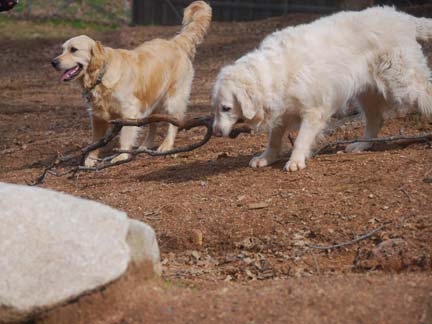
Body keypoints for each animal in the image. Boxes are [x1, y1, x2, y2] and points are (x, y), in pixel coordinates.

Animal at [51, 0, 212, 167]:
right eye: (62, 50)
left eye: (73, 49)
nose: (53, 62)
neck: (102, 74)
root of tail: (175, 43)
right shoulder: (97, 116)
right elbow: (95, 141)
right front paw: (90, 159)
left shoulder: (129, 111)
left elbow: (125, 136)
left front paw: (121, 156)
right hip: (151, 101)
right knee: (153, 125)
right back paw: (145, 146)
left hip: (173, 99)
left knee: (174, 123)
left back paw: (166, 146)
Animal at [211, 5, 430, 172]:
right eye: (217, 109)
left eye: (226, 108)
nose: (215, 133)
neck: (276, 71)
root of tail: (403, 18)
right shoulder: (282, 111)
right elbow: (274, 138)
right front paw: (266, 157)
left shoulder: (314, 110)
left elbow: (301, 139)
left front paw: (295, 161)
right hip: (367, 94)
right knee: (376, 120)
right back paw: (361, 145)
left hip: (404, 82)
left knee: (426, 94)